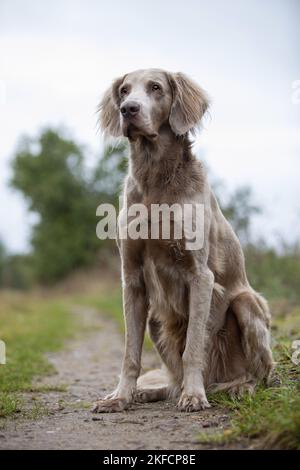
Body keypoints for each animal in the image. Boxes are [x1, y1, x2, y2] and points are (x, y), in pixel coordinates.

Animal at [94, 68, 274, 414]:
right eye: (124, 91)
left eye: (155, 87)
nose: (128, 110)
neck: (155, 179)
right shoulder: (132, 278)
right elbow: (130, 353)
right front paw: (120, 396)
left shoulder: (200, 275)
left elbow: (193, 347)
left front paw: (193, 395)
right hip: (155, 318)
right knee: (171, 380)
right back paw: (151, 392)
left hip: (247, 304)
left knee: (261, 375)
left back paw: (237, 388)